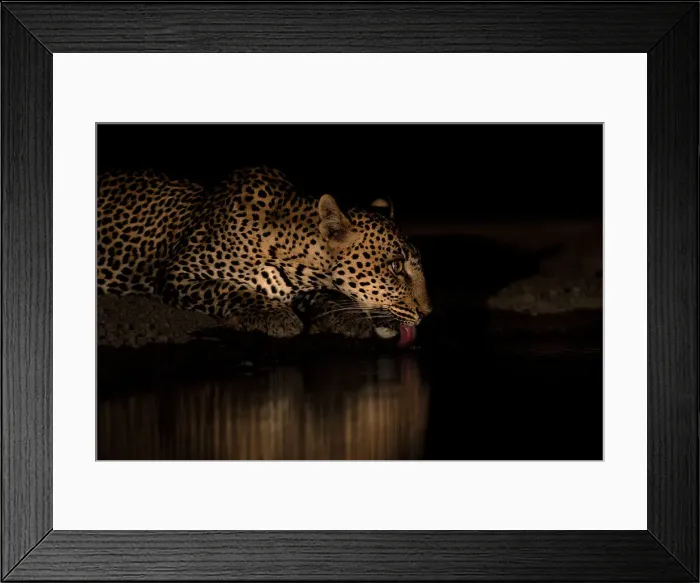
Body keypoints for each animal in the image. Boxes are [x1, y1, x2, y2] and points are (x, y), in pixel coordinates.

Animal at [97, 166, 432, 342]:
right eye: (396, 267)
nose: (428, 313)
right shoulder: (177, 274)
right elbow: (228, 290)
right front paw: (279, 316)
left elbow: (323, 296)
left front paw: (348, 316)